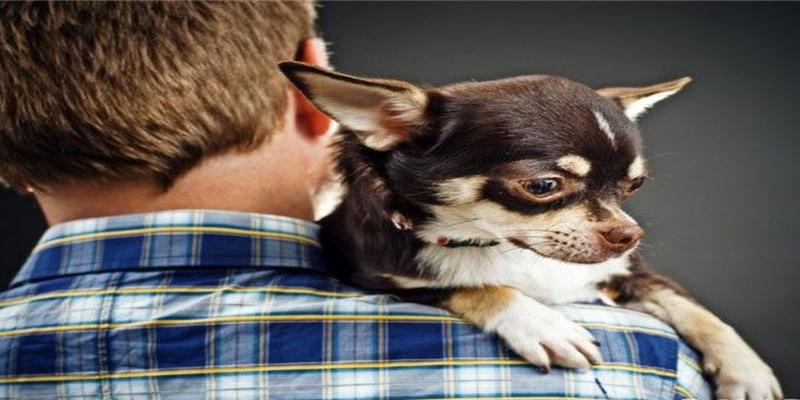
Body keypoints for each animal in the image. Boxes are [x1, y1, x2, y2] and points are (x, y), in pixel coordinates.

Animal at [280, 61, 780, 398]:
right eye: (543, 186)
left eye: (633, 185)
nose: (629, 234)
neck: (502, 246)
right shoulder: (372, 280)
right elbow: (477, 285)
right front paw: (541, 323)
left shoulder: (624, 273)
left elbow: (695, 310)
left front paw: (748, 370)